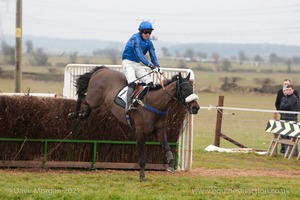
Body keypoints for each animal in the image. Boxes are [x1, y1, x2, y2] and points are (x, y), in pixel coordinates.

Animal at [67, 66, 199, 181]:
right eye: (184, 89)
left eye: (192, 89)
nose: (195, 108)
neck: (154, 103)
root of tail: (101, 70)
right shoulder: (140, 132)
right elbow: (142, 157)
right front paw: (142, 176)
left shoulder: (160, 130)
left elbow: (167, 147)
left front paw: (171, 165)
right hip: (93, 98)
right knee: (81, 97)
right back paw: (73, 114)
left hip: (96, 102)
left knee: (87, 106)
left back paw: (83, 115)